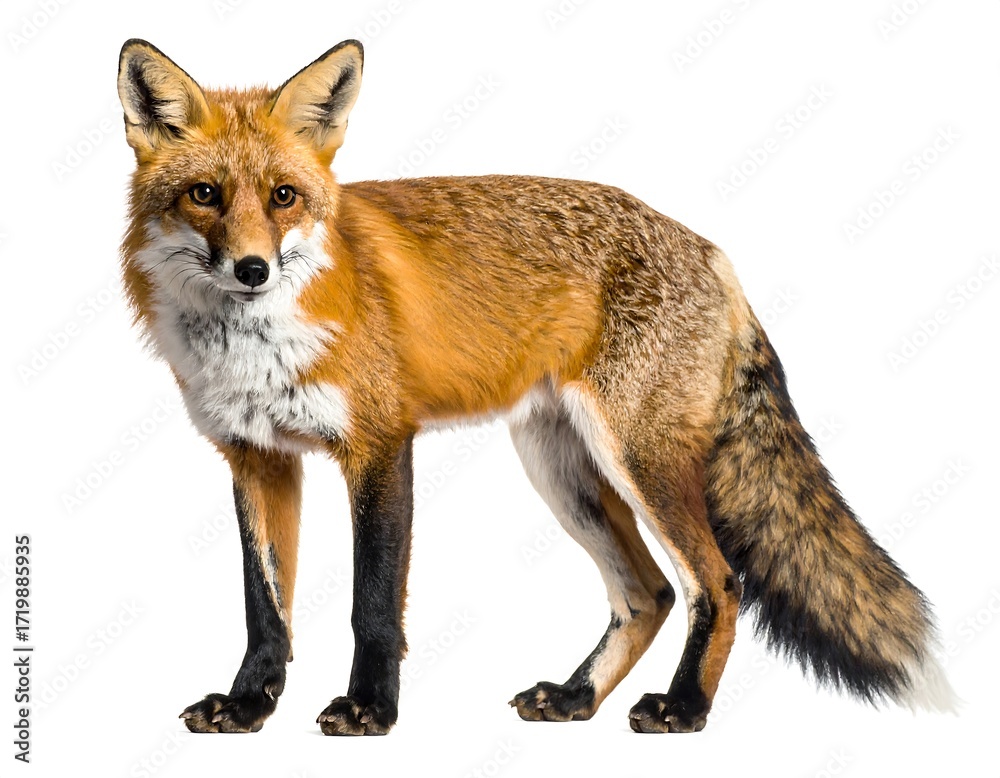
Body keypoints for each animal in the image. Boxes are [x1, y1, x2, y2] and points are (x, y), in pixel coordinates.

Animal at [116, 38, 955, 735]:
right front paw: (248, 705)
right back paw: (577, 697)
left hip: (638, 459)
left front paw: (370, 710)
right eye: (204, 195)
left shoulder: (380, 446)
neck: (256, 346)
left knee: (715, 582)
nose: (252, 269)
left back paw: (684, 709)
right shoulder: (256, 458)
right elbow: (266, 610)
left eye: (284, 196)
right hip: (562, 471)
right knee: (647, 594)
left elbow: (372, 604)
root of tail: (712, 251)